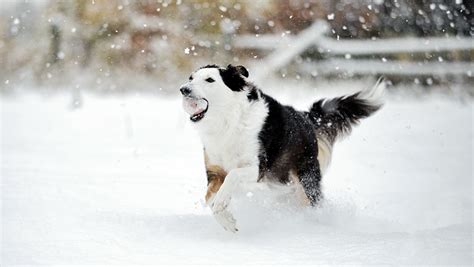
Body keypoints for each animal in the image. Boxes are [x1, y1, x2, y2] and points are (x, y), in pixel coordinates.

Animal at [180, 64, 384, 232]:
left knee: (312, 201)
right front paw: (228, 221)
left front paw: (223, 203)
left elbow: (232, 177)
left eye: (210, 80)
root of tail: (306, 118)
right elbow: (209, 199)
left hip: (306, 179)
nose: (184, 89)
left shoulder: (257, 167)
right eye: (191, 78)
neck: (228, 121)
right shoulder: (214, 171)